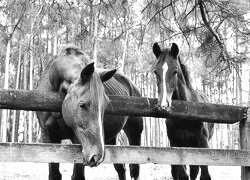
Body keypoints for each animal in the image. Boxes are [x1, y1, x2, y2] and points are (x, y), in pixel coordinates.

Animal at [36, 45, 144, 180]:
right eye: (82, 105)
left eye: (105, 105)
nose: (97, 156)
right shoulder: (48, 137)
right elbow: (54, 174)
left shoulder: (77, 139)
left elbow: (77, 175)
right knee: (120, 168)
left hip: (135, 131)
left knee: (134, 169)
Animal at [151, 42, 214, 180]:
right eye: (156, 72)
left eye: (175, 71)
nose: (163, 105)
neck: (185, 112)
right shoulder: (176, 144)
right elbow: (183, 175)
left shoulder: (202, 143)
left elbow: (204, 175)